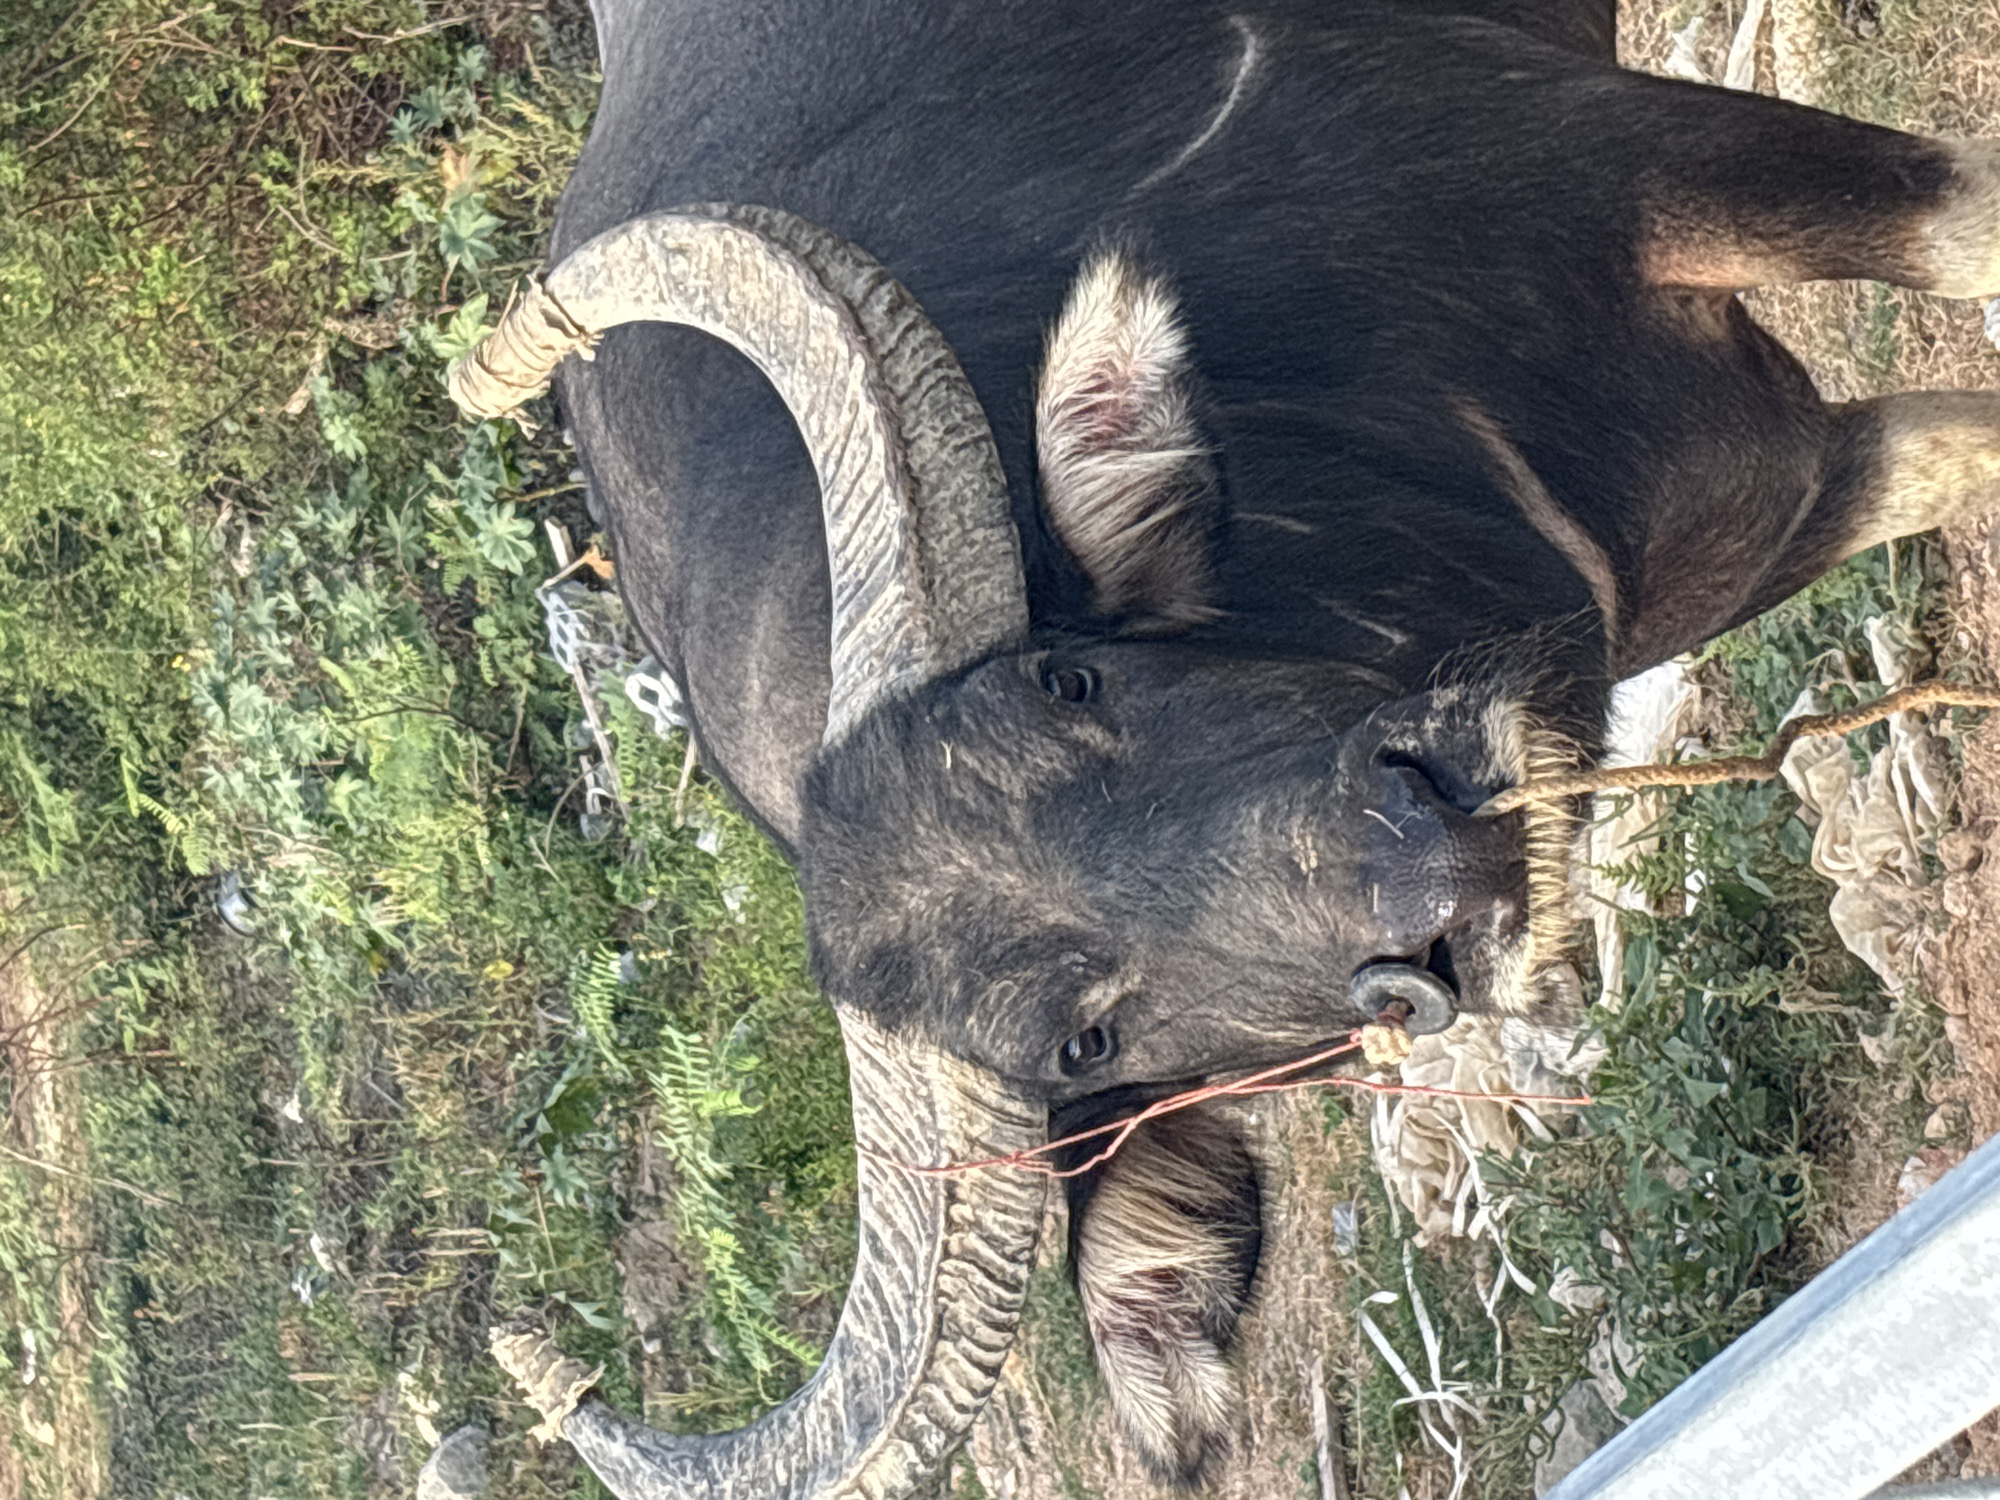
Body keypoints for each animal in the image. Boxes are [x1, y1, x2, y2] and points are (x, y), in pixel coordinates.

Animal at [452, 0, 2000, 1493]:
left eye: (1072, 679)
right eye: (1086, 1040)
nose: (1438, 874)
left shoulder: (1633, 159)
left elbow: (1961, 233)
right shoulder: (1775, 510)